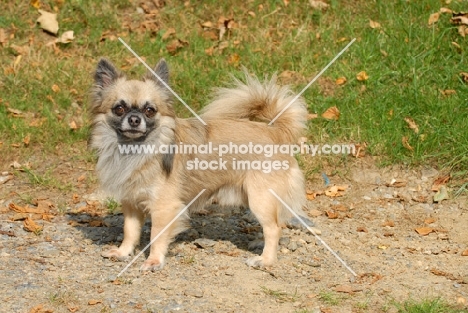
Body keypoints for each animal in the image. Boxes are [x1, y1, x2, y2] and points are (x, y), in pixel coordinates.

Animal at [90, 58, 310, 270]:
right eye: (119, 109)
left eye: (150, 111)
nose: (135, 119)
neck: (136, 150)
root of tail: (275, 131)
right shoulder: (131, 203)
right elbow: (130, 231)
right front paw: (123, 253)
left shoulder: (164, 207)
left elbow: (156, 235)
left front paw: (154, 261)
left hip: (260, 198)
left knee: (273, 228)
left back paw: (265, 260)